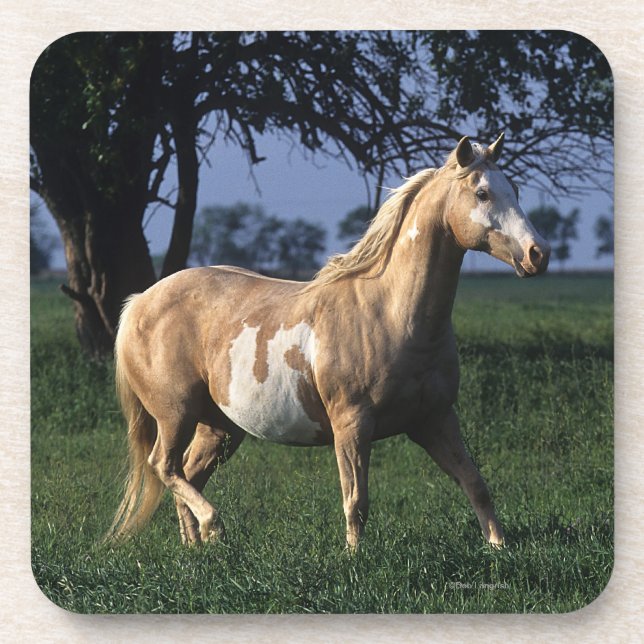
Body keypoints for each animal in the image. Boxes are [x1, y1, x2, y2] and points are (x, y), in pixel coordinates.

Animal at [107, 133, 550, 550]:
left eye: (514, 188)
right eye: (482, 192)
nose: (538, 254)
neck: (391, 314)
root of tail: (140, 302)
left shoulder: (435, 419)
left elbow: (475, 484)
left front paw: (499, 548)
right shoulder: (351, 424)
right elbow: (356, 501)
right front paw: (354, 559)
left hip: (219, 426)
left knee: (187, 473)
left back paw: (197, 547)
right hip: (175, 414)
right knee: (164, 466)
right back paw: (213, 525)